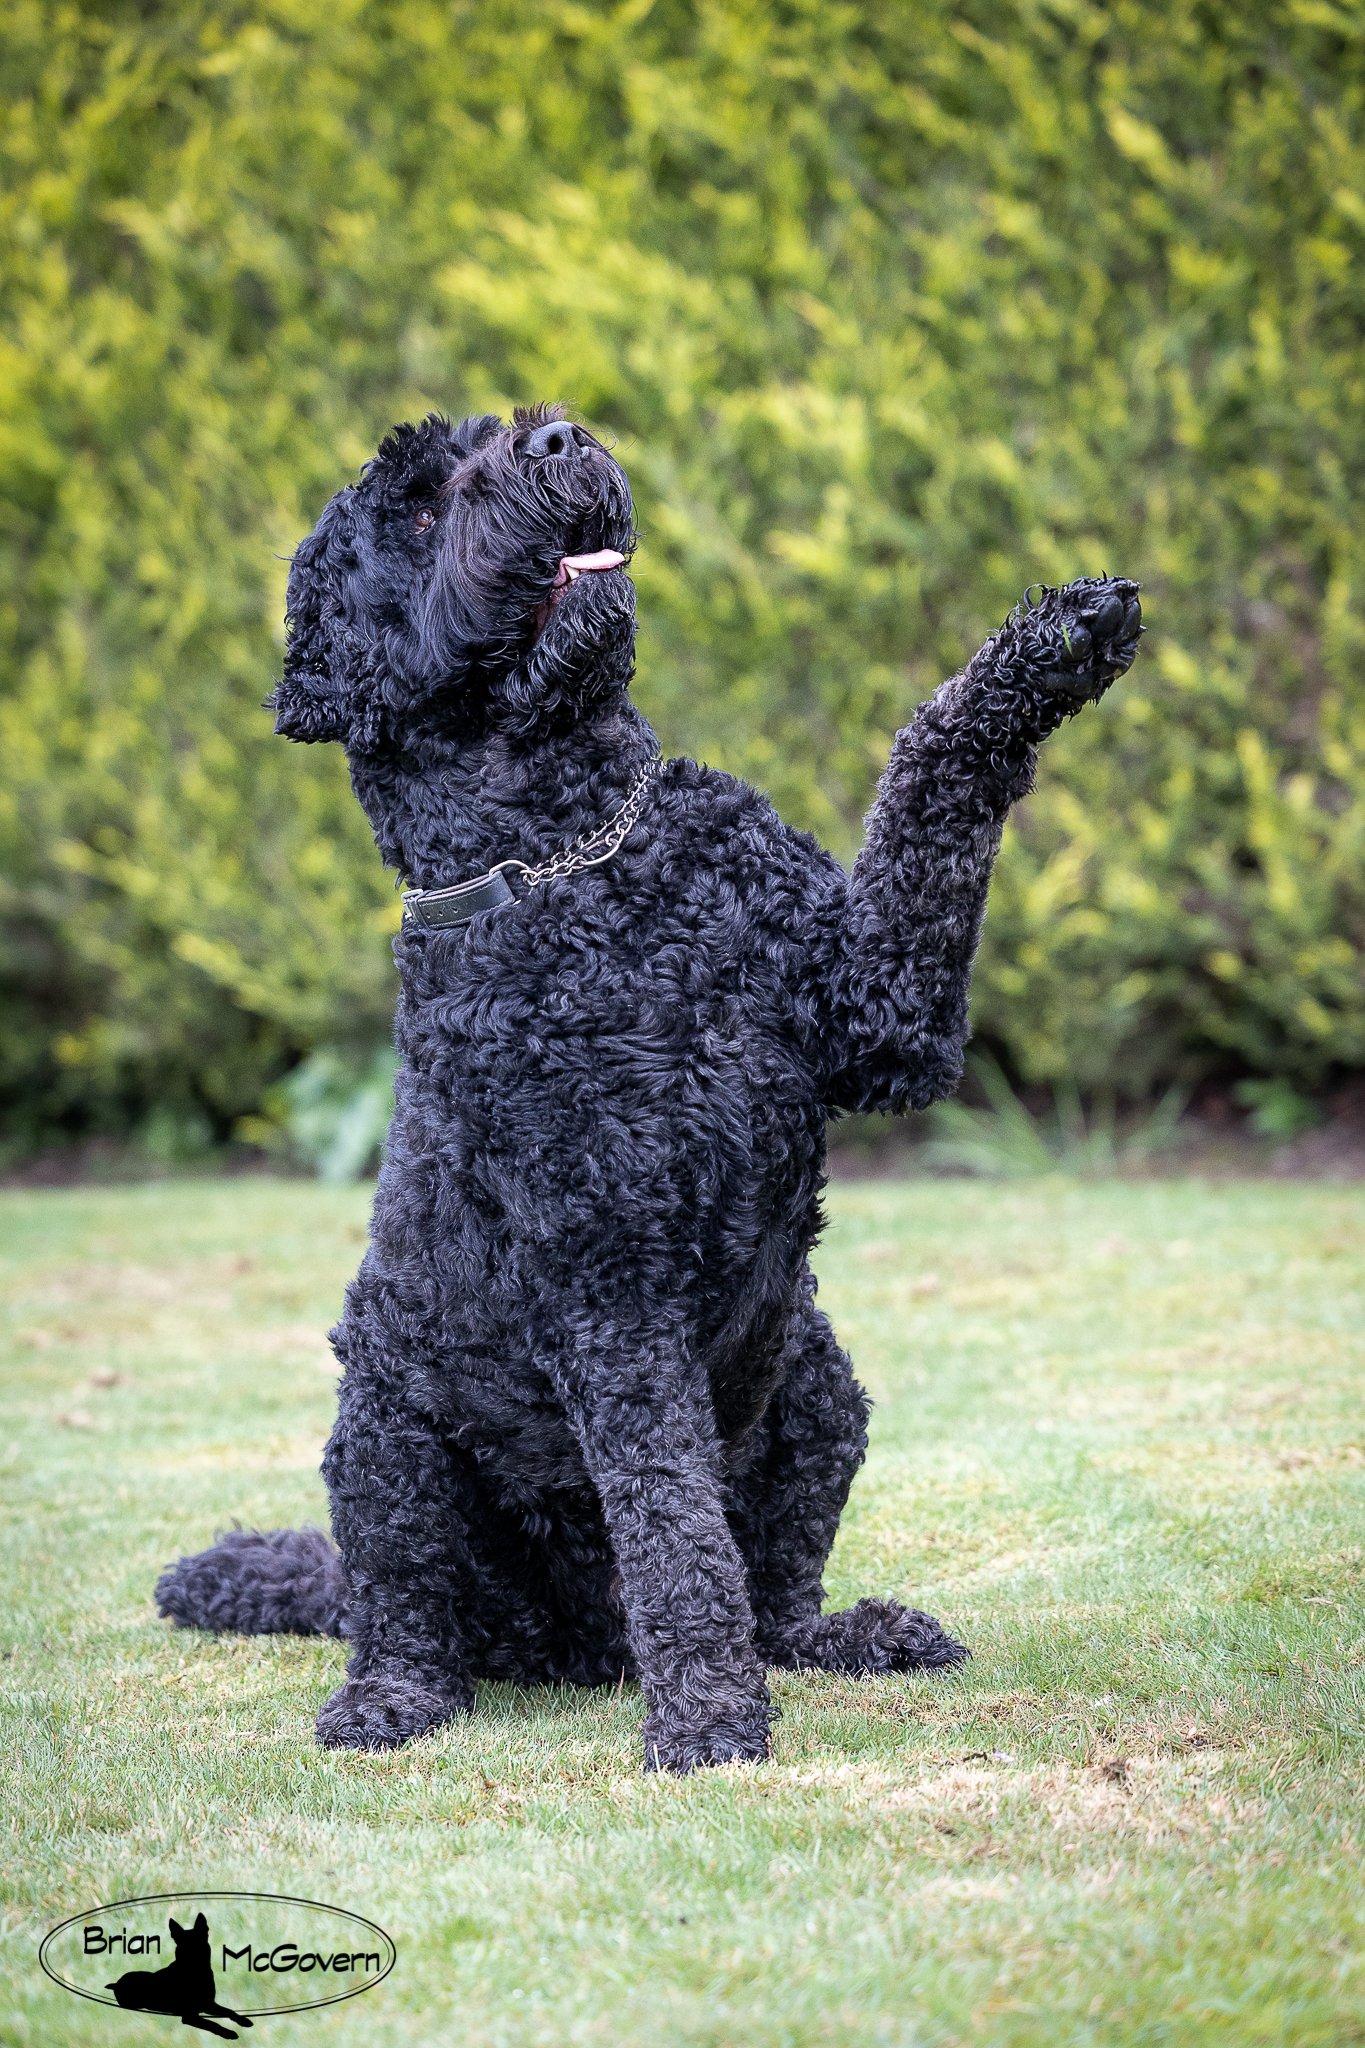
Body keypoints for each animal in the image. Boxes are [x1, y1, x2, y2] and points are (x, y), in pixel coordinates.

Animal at [157, 405, 1141, 1772]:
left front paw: (1055, 641)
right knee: (405, 1604)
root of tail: (580, 1645)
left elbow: (935, 768)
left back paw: (850, 1633)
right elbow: (673, 1518)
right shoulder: (612, 1279)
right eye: (417, 502)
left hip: (820, 1379)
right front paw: (709, 1714)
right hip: (387, 1429)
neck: (578, 855)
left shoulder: (885, 1010)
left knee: (779, 1586)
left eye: (498, 430)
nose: (559, 435)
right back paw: (392, 1697)